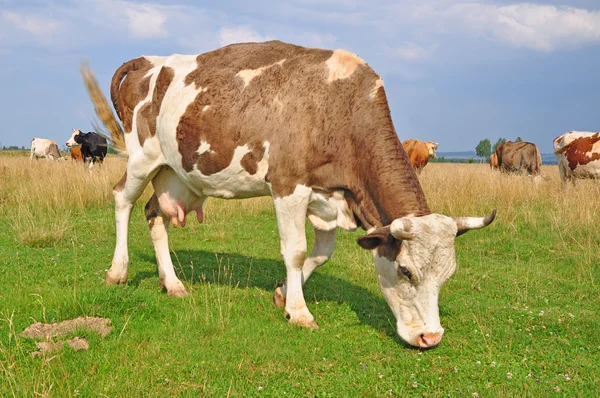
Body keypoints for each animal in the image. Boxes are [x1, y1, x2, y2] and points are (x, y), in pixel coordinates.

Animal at [81, 38, 496, 346]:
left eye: (448, 275)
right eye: (406, 271)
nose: (430, 337)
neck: (341, 107)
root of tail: (149, 60)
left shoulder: (329, 197)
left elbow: (321, 255)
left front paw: (282, 293)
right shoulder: (288, 187)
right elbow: (295, 251)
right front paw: (299, 311)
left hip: (177, 174)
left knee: (156, 215)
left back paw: (173, 284)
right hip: (142, 158)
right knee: (122, 199)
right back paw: (118, 272)